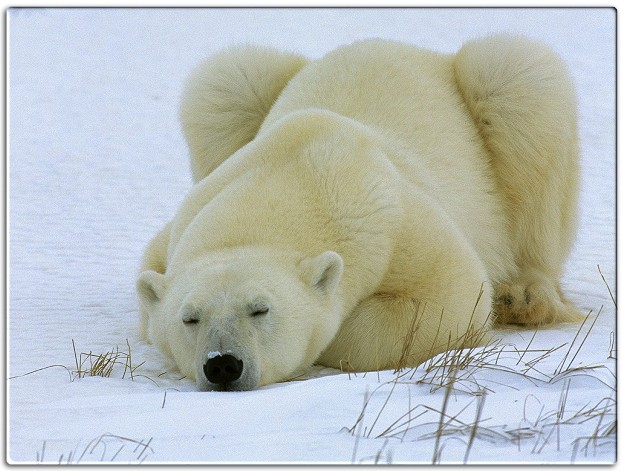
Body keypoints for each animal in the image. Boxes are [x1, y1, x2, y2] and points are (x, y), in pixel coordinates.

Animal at [136, 36, 580, 390]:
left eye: (261, 309)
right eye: (189, 318)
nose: (223, 364)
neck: (298, 170)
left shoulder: (396, 221)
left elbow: (453, 296)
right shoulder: (188, 215)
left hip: (505, 111)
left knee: (520, 86)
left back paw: (523, 296)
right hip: (240, 93)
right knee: (224, 84)